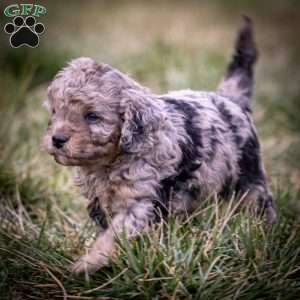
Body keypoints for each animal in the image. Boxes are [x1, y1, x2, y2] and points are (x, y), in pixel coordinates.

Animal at [42, 17, 276, 274]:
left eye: (92, 116)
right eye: (55, 111)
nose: (57, 139)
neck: (110, 162)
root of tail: (231, 100)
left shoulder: (141, 201)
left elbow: (114, 235)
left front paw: (88, 262)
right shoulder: (98, 201)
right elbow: (106, 230)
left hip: (249, 177)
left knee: (259, 203)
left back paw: (265, 232)